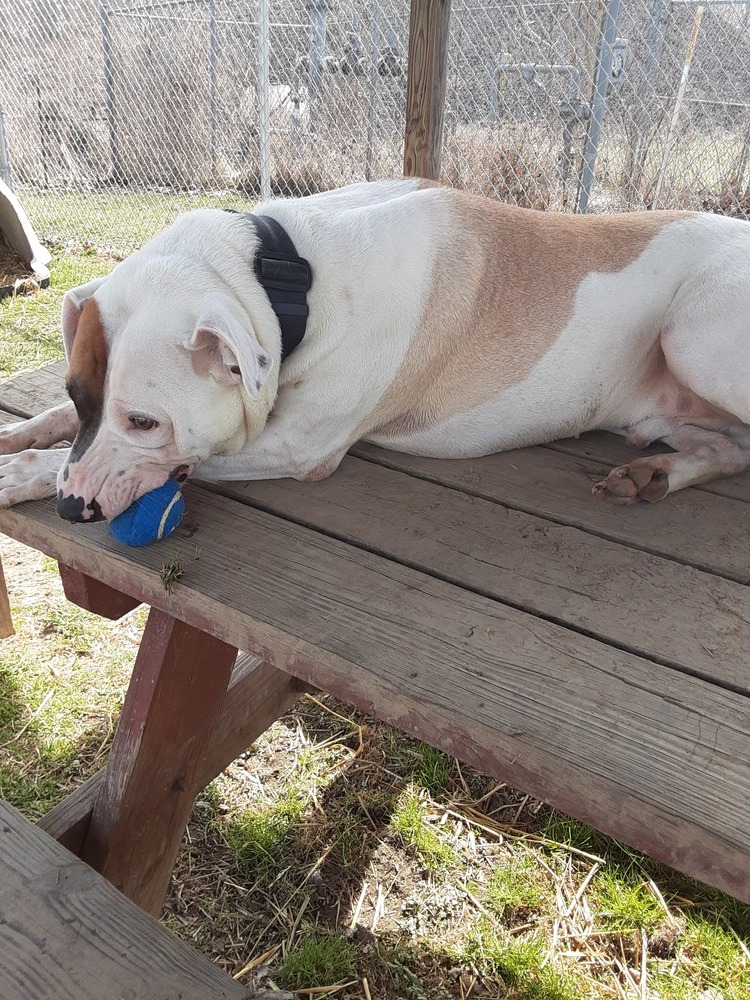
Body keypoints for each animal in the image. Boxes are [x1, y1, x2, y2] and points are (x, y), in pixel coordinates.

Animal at [1, 181, 750, 524]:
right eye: (75, 393)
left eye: (145, 422)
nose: (71, 508)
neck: (286, 276)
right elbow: (50, 425)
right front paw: (21, 438)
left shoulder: (298, 447)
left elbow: (204, 456)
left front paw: (25, 473)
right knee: (729, 448)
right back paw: (657, 473)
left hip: (691, 330)